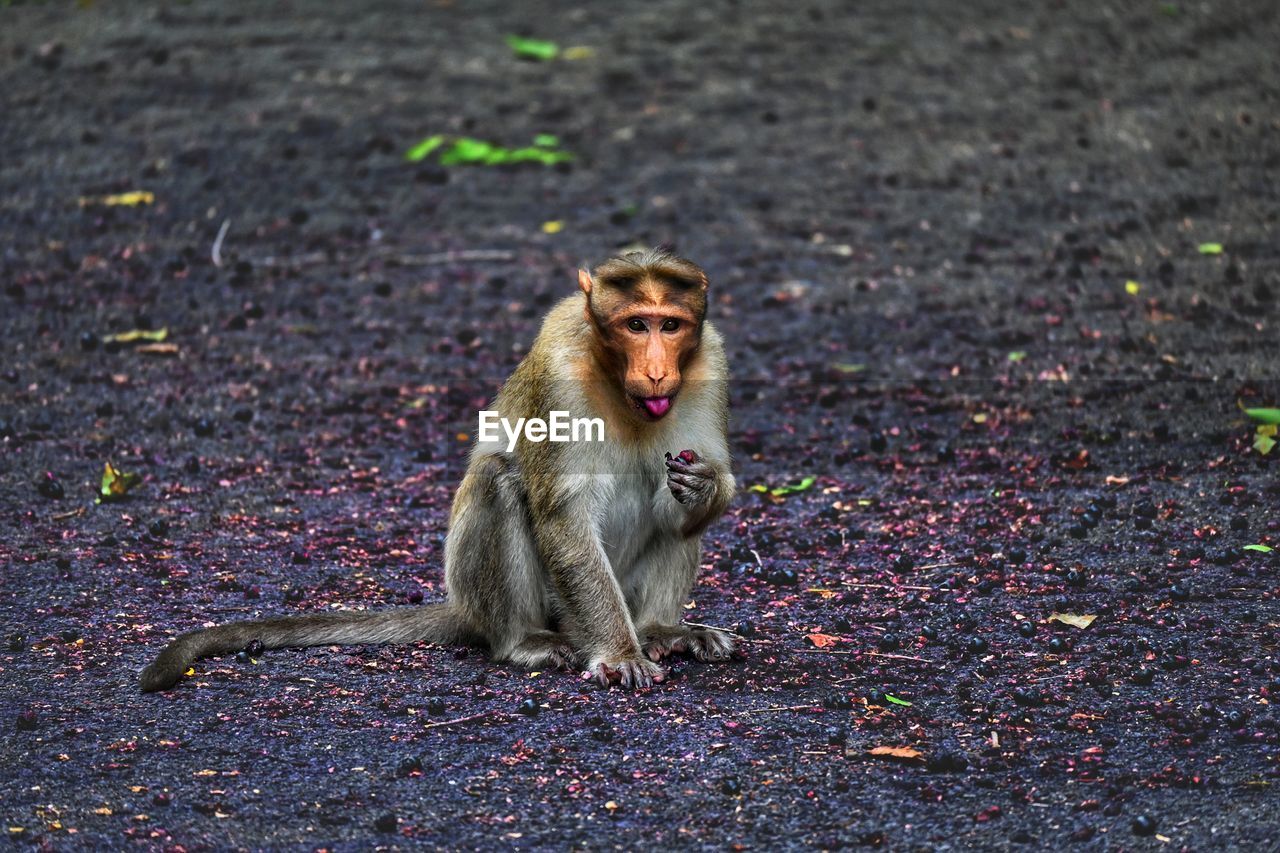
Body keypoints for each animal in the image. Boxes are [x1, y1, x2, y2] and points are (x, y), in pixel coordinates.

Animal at [141, 245, 737, 691]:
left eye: (670, 325)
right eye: (636, 324)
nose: (657, 372)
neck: (617, 384)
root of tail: (464, 607)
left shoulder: (710, 359)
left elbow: (692, 491)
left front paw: (704, 485)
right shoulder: (560, 368)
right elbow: (564, 518)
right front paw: (618, 654)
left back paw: (659, 629)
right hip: (514, 600)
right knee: (498, 480)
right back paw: (524, 641)